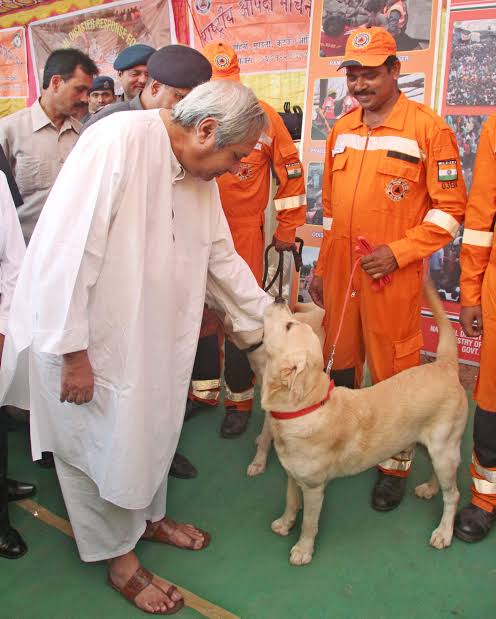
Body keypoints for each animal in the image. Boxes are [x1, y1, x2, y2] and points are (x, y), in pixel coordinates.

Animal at [260, 280, 468, 568]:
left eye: (290, 325)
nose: (279, 298)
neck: (306, 406)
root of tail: (446, 365)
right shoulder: (292, 474)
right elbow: (290, 501)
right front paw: (284, 523)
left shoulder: (314, 487)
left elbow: (309, 524)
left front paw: (303, 549)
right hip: (430, 447)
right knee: (442, 478)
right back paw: (430, 488)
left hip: (443, 449)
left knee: (453, 495)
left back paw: (444, 532)